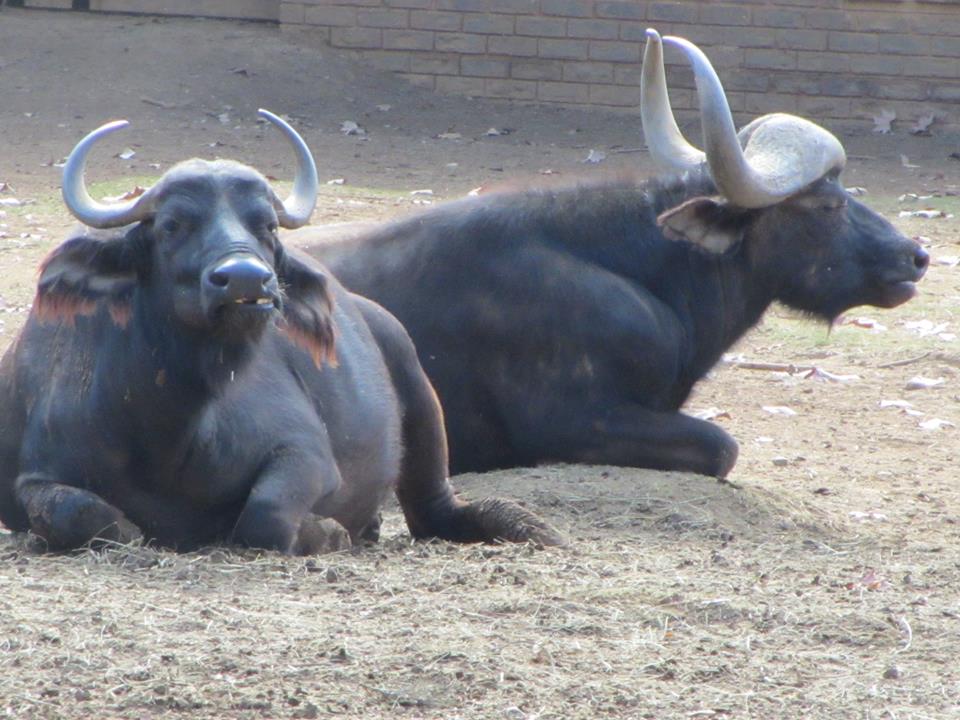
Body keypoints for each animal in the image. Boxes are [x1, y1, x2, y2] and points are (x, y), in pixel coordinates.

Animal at [0, 110, 561, 553]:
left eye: (266, 225)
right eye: (173, 224)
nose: (246, 280)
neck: (171, 430)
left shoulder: (307, 454)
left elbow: (266, 514)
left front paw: (328, 532)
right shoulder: (37, 476)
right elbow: (84, 515)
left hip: (420, 391)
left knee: (433, 508)